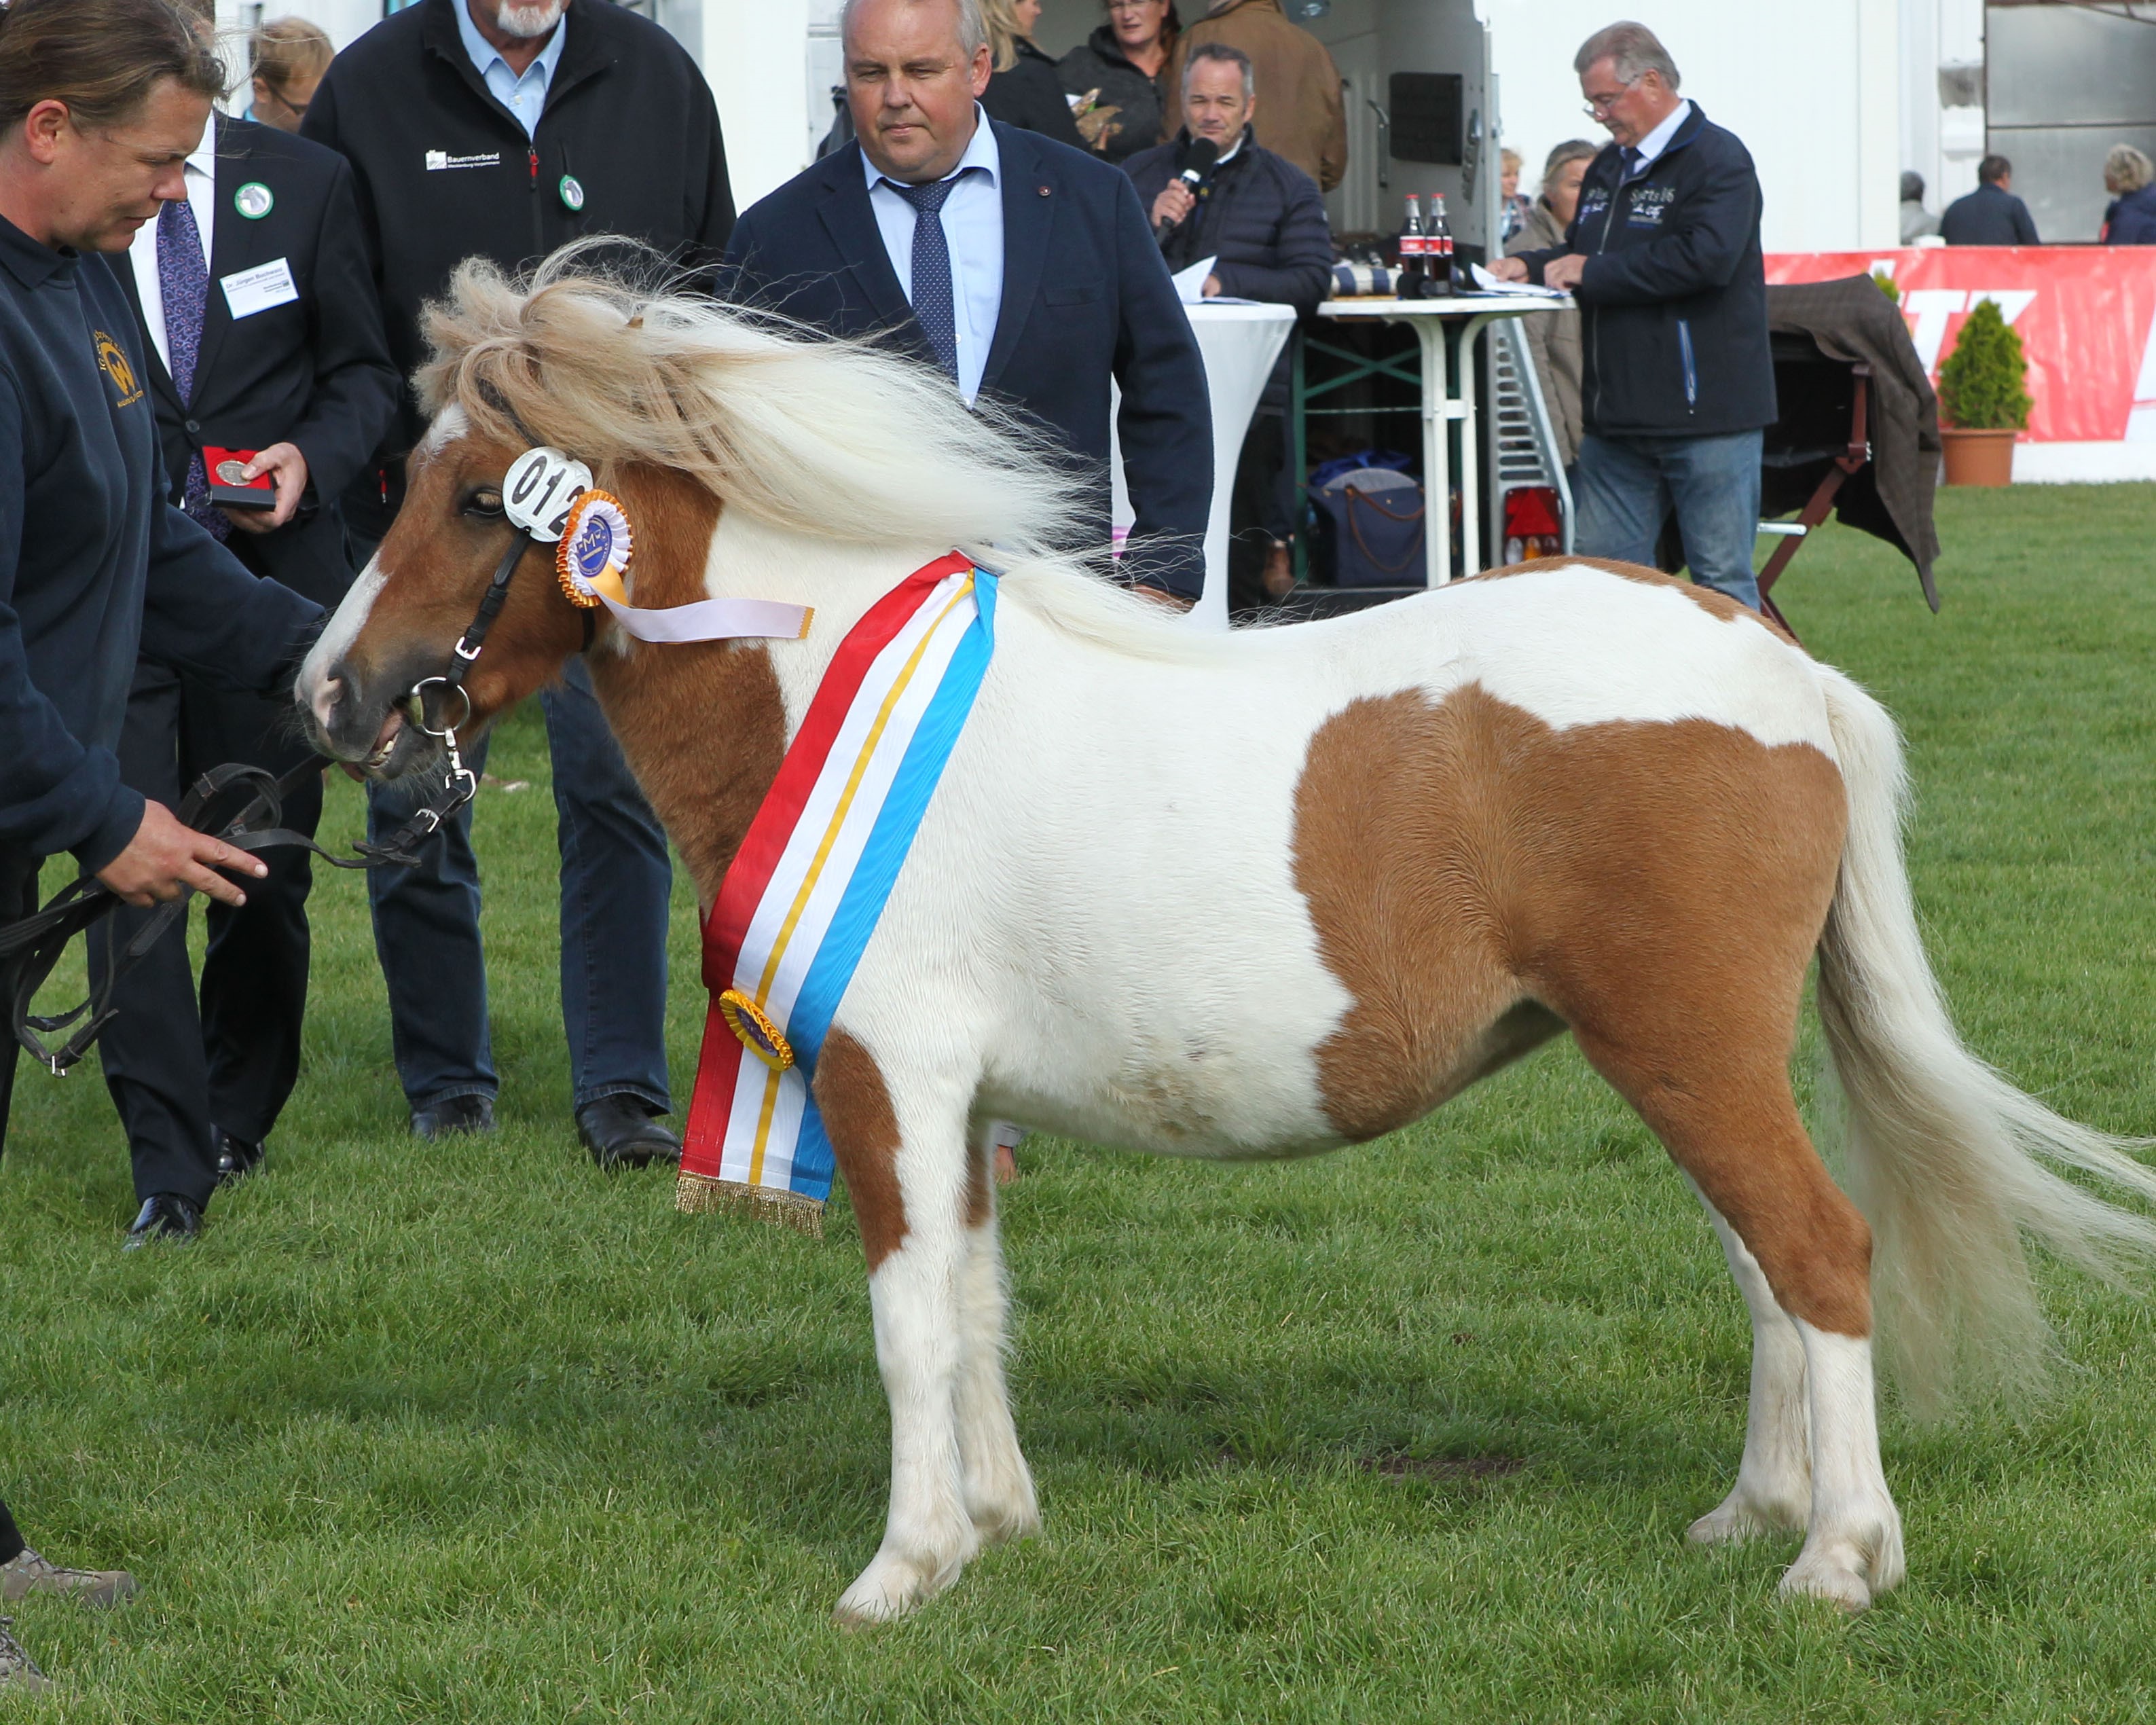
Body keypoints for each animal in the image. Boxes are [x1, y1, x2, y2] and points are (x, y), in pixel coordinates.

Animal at [299, 256, 2156, 1621]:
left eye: (472, 499)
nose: (331, 695)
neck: (829, 687)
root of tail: (1774, 663)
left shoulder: (886, 1077)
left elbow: (907, 1318)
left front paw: (902, 1567)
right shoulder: (964, 1108)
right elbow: (974, 1302)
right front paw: (995, 1524)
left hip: (1685, 1049)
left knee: (1818, 1255)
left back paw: (1836, 1557)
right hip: (1685, 1059)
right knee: (1762, 1267)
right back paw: (1753, 1511)